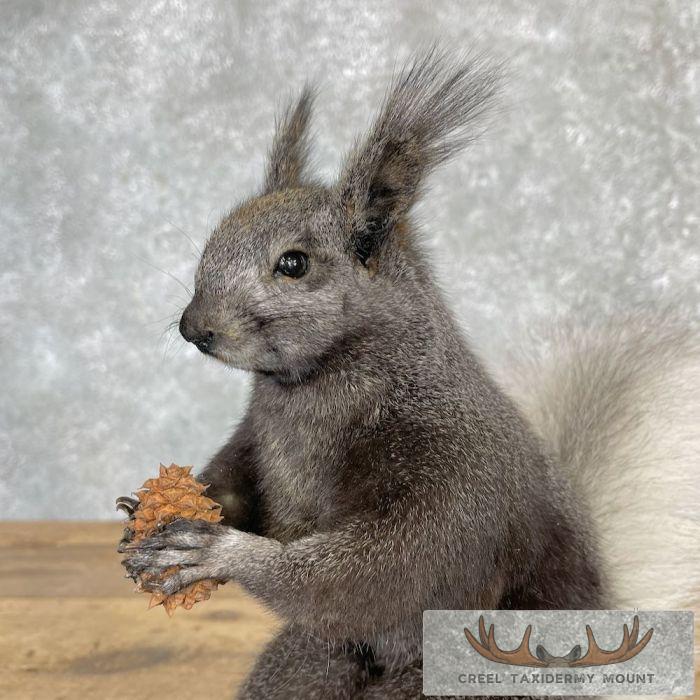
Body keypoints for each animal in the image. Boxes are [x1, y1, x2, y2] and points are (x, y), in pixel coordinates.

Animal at [119, 49, 700, 699]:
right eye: (214, 237)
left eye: (293, 263)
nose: (194, 328)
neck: (307, 388)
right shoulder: (254, 438)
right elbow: (237, 483)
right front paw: (153, 520)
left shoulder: (453, 481)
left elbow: (379, 573)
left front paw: (220, 554)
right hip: (312, 660)